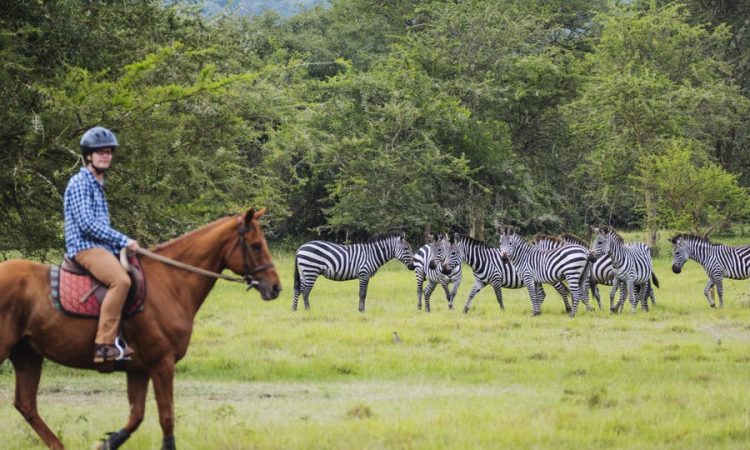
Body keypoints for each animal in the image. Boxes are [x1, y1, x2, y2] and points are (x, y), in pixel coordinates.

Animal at [0, 209, 282, 448]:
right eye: (256, 245)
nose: (276, 287)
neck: (170, 283)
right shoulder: (162, 363)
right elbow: (166, 418)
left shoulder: (138, 369)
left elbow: (136, 417)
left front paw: (104, 444)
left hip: (27, 356)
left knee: (26, 405)